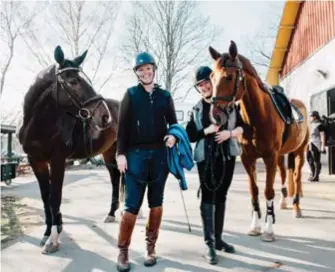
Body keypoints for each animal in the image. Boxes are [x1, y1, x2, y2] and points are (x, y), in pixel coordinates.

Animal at [18, 46, 121, 253]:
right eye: (73, 81)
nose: (105, 116)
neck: (39, 126)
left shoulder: (58, 161)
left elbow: (55, 198)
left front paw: (53, 240)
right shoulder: (36, 161)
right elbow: (46, 198)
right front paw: (48, 233)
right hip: (108, 152)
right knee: (116, 177)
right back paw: (112, 213)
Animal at [210, 41, 310, 241]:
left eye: (229, 77)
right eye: (211, 77)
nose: (215, 116)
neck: (258, 117)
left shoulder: (269, 157)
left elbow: (267, 191)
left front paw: (268, 229)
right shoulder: (248, 159)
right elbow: (254, 190)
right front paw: (255, 226)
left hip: (300, 152)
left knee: (297, 177)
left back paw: (297, 208)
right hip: (282, 155)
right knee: (284, 175)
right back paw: (284, 202)